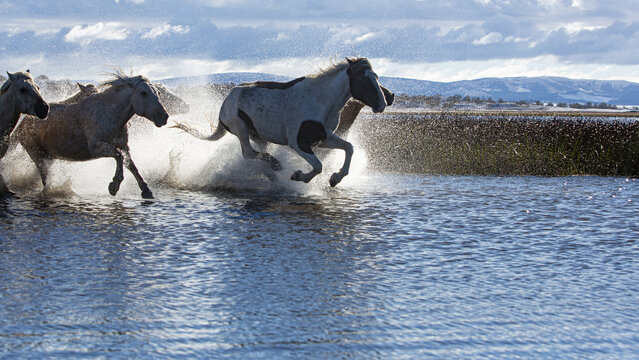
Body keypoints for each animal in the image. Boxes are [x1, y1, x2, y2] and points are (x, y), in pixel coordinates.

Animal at [14, 71, 169, 198]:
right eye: (143, 93)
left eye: (158, 93)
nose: (164, 117)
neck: (110, 114)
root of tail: (22, 124)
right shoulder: (96, 147)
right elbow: (119, 156)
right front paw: (114, 186)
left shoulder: (124, 145)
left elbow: (130, 164)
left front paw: (146, 190)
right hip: (37, 154)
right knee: (45, 177)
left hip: (48, 155)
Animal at [172, 57, 388, 187]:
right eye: (363, 78)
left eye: (376, 77)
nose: (383, 103)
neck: (322, 100)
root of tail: (225, 102)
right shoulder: (298, 143)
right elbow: (318, 166)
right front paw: (299, 176)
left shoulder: (324, 139)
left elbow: (349, 148)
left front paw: (335, 178)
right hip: (240, 128)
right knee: (248, 153)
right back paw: (276, 165)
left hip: (259, 136)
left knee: (256, 154)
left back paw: (272, 175)